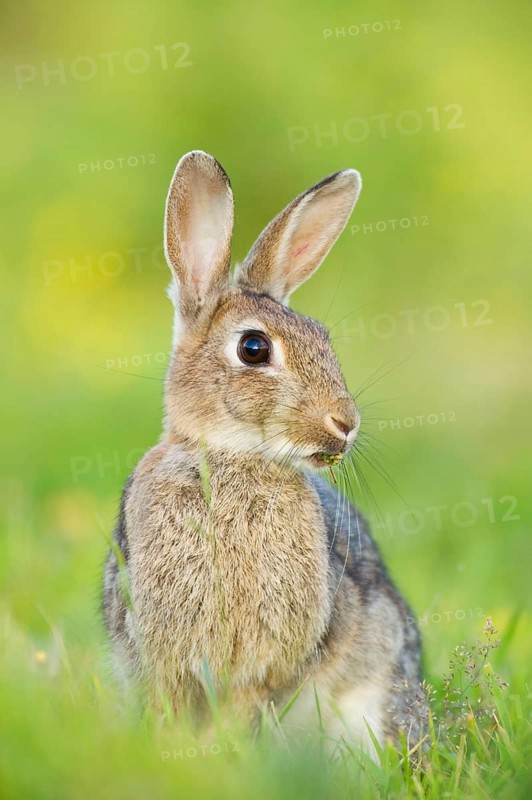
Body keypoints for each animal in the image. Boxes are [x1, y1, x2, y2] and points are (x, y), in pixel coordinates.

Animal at [102, 150, 428, 755]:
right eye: (253, 348)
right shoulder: (165, 655)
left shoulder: (265, 667)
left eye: (323, 337)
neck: (232, 457)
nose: (345, 424)